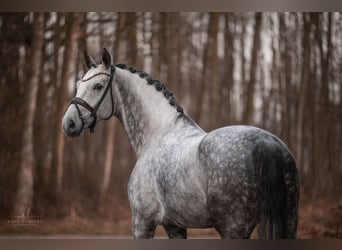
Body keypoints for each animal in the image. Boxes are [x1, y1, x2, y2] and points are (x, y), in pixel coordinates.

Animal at [62, 48, 298, 238]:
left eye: (98, 86)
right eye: (78, 84)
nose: (69, 123)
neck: (158, 132)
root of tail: (267, 144)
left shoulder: (142, 222)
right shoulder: (174, 225)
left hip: (233, 229)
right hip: (288, 223)